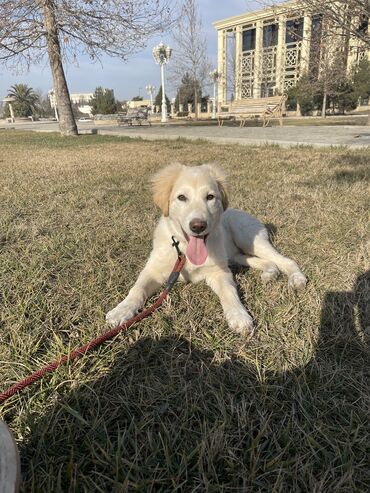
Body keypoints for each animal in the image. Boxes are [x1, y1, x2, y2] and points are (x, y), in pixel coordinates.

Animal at [106, 164, 306, 334]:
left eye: (210, 197)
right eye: (182, 197)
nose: (198, 226)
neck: (185, 251)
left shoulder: (219, 271)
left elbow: (229, 293)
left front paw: (239, 316)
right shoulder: (153, 270)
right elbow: (137, 289)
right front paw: (121, 310)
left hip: (248, 239)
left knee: (284, 260)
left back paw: (297, 278)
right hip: (235, 255)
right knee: (264, 261)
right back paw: (269, 273)